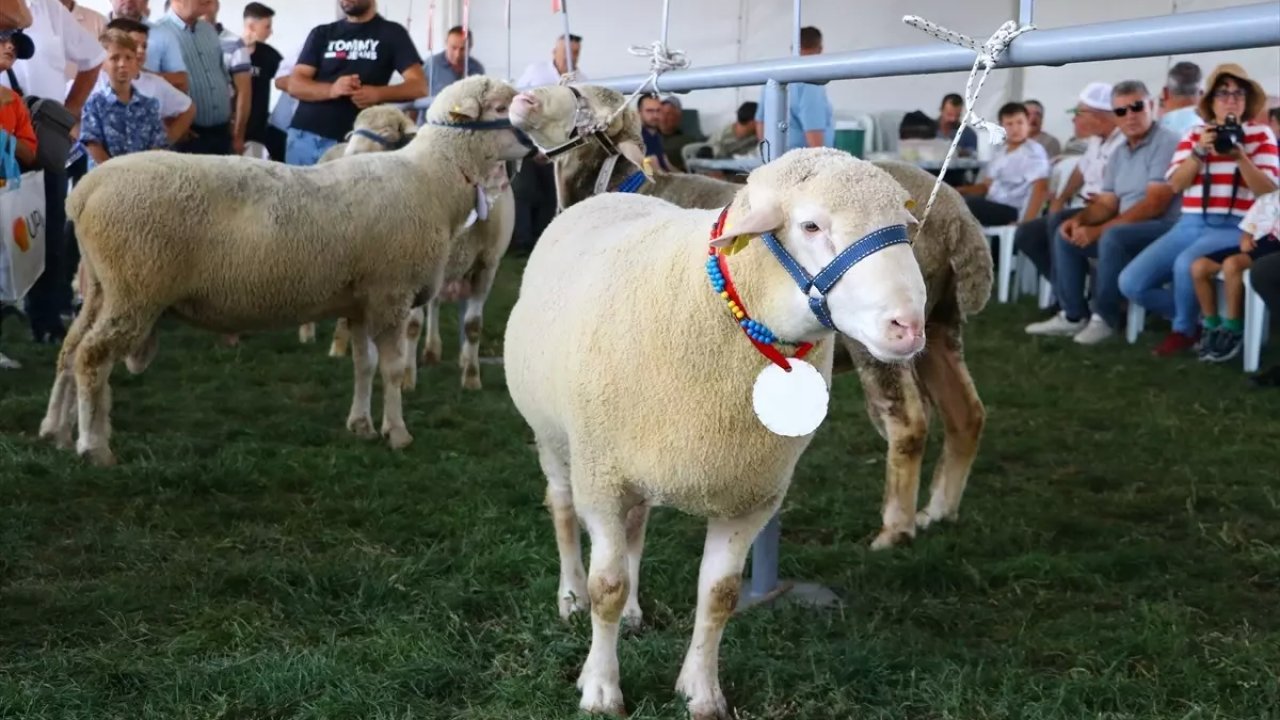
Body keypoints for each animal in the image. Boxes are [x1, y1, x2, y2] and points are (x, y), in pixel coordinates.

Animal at [37, 74, 532, 466]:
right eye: (501, 107)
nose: (537, 133)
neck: (433, 178)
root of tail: (85, 190)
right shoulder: (392, 294)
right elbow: (390, 370)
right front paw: (397, 433)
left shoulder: (361, 301)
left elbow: (364, 365)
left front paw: (361, 425)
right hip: (135, 287)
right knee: (92, 357)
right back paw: (93, 446)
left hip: (102, 287)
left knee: (69, 351)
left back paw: (56, 431)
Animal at [501, 147, 931, 717]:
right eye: (811, 225)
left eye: (902, 227)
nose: (909, 326)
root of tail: (603, 197)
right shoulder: (602, 480)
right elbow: (606, 587)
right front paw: (600, 689)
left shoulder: (751, 497)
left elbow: (720, 595)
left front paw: (701, 692)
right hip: (556, 439)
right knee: (563, 509)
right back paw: (569, 596)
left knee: (637, 526)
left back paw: (634, 611)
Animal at [514, 81, 993, 545]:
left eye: (581, 96)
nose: (523, 98)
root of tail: (960, 219)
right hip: (940, 322)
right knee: (967, 412)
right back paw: (940, 509)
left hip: (882, 339)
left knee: (909, 423)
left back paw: (896, 528)